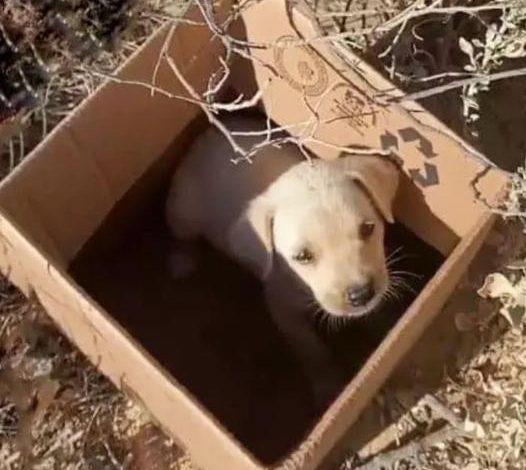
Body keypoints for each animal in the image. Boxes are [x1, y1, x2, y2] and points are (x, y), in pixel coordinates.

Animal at [167, 114, 402, 404]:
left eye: (368, 229)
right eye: (303, 257)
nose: (361, 294)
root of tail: (205, 138)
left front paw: (384, 324)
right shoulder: (283, 310)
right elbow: (312, 351)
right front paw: (327, 386)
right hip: (183, 211)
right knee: (181, 235)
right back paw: (182, 260)